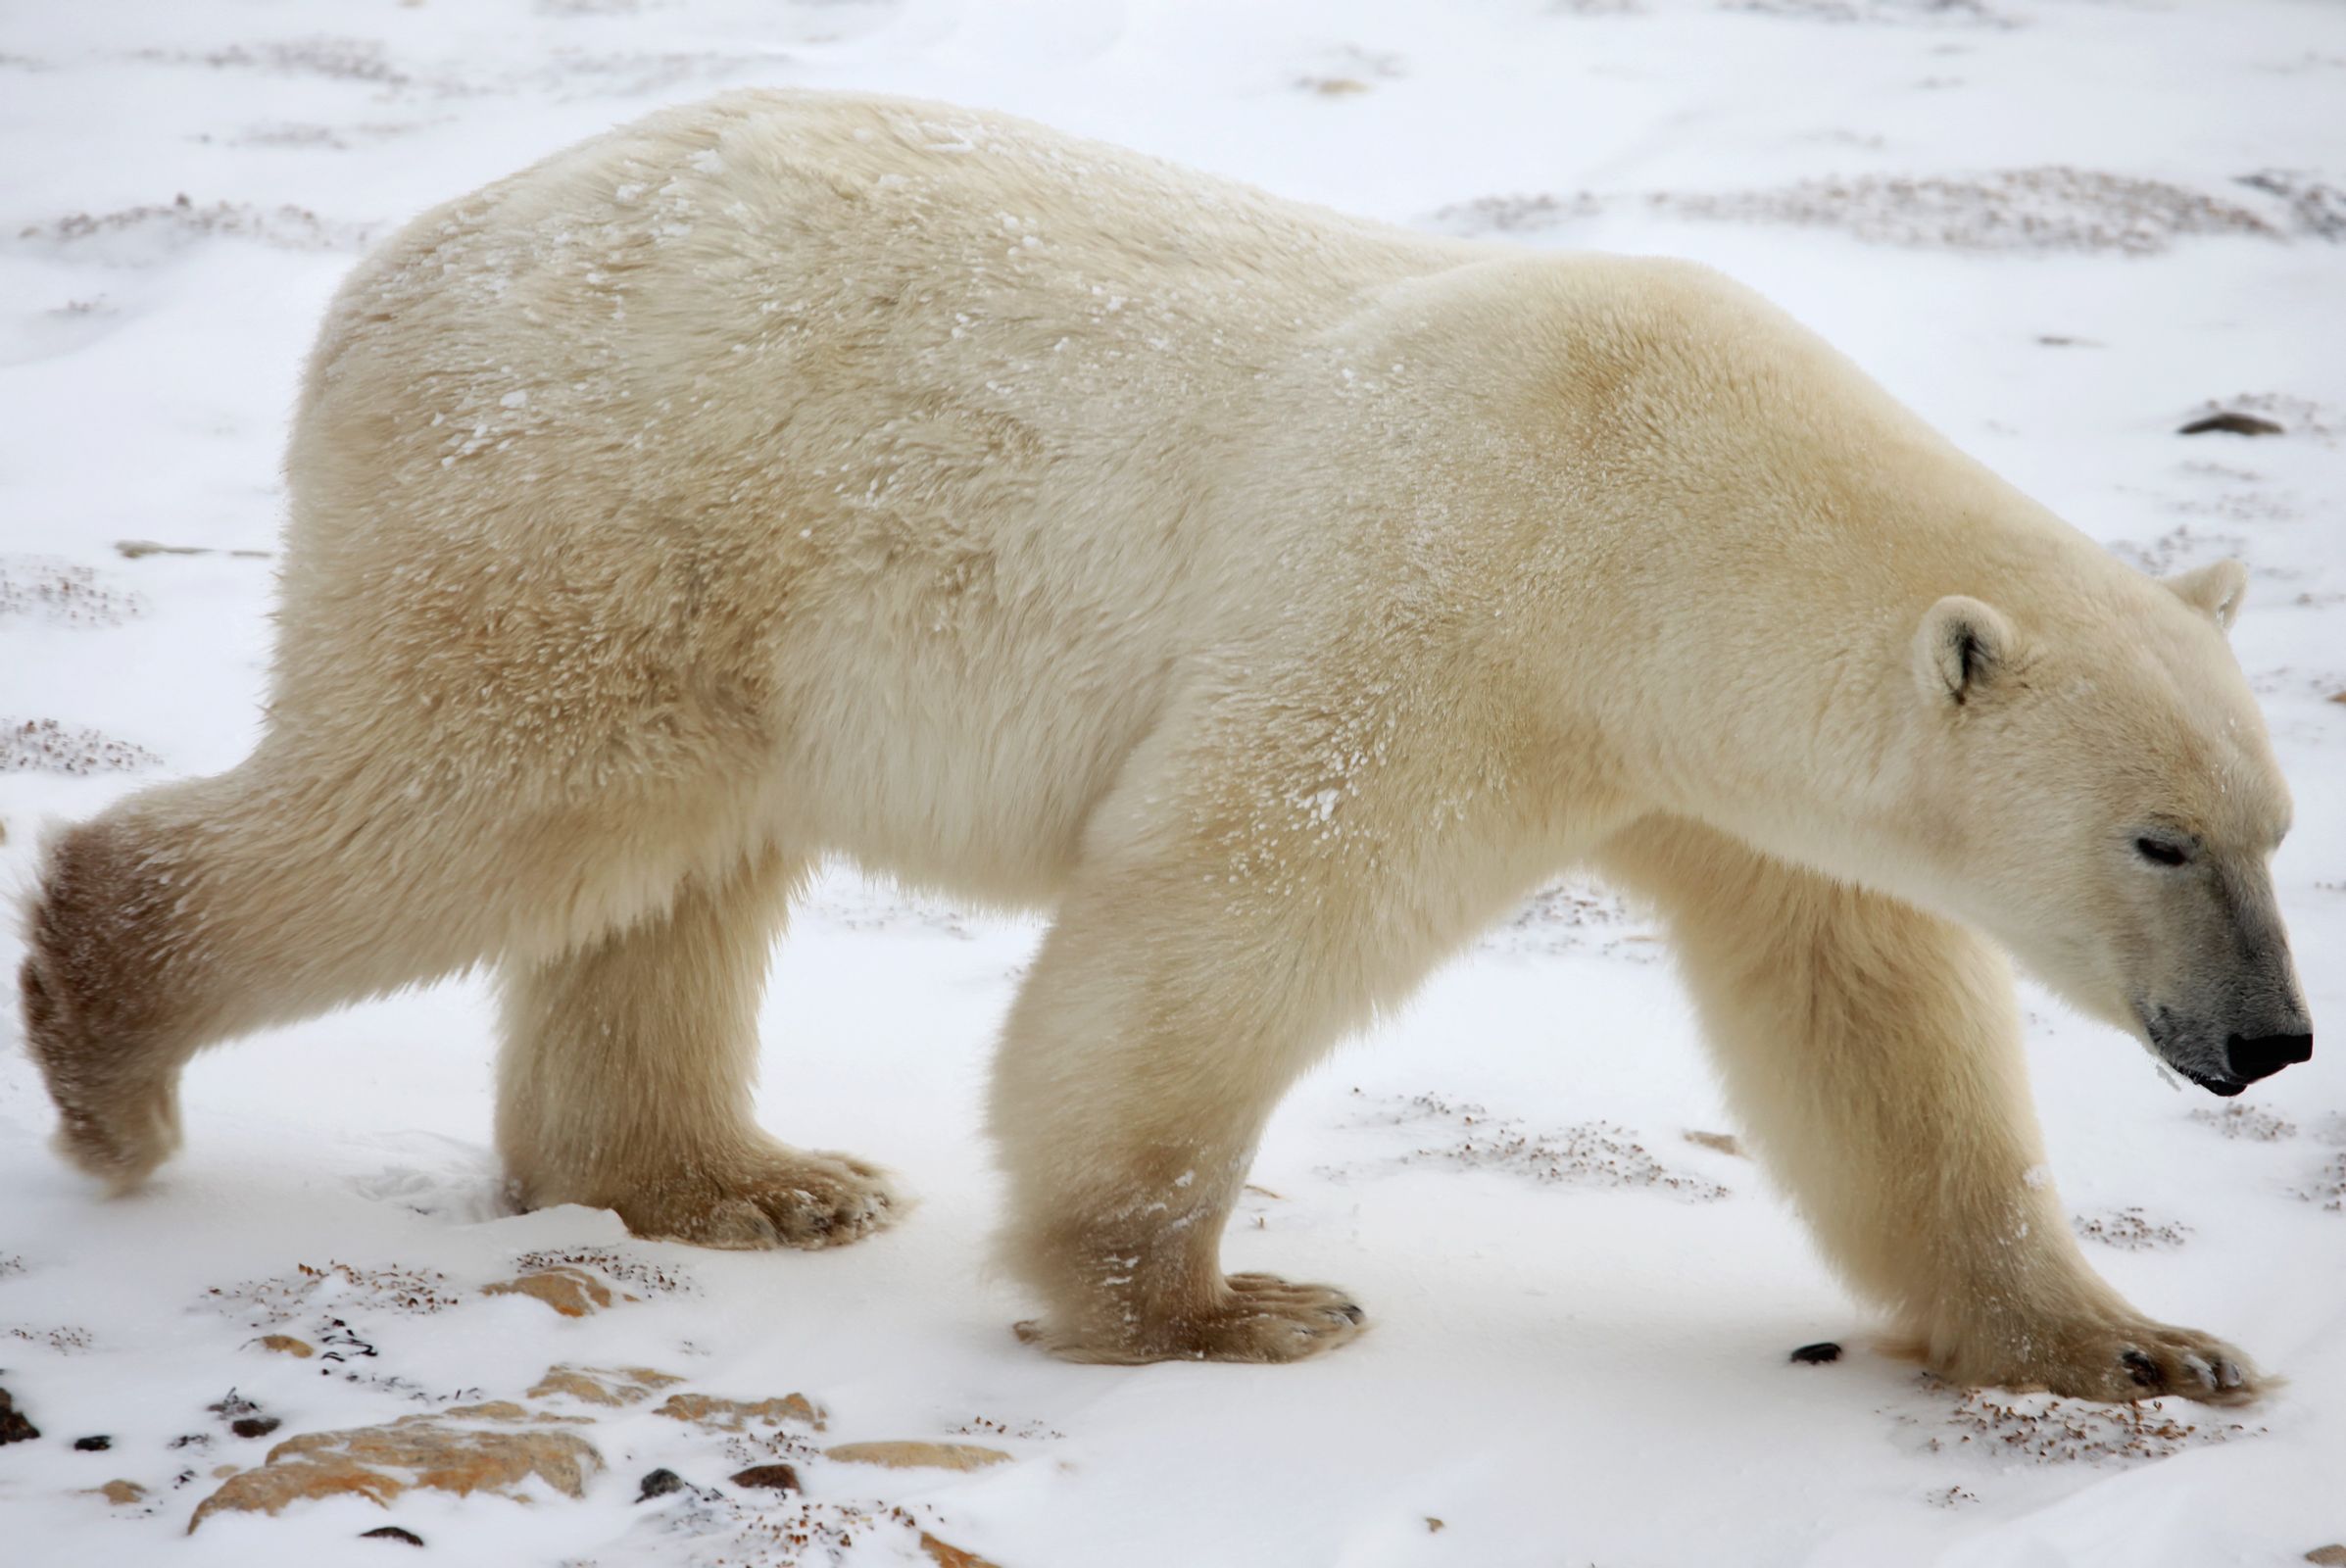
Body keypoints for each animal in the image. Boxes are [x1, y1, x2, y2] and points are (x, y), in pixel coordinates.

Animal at [27, 92, 2318, 1398]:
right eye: (2157, 841)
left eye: (2274, 825)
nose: (2269, 1040)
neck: (1662, 501)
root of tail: (392, 267)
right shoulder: (1445, 598)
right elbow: (1229, 905)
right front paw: (1213, 1305)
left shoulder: (1727, 774)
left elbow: (1870, 1028)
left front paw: (2135, 1344)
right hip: (596, 504)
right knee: (476, 799)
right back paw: (110, 1047)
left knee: (670, 874)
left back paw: (739, 1182)